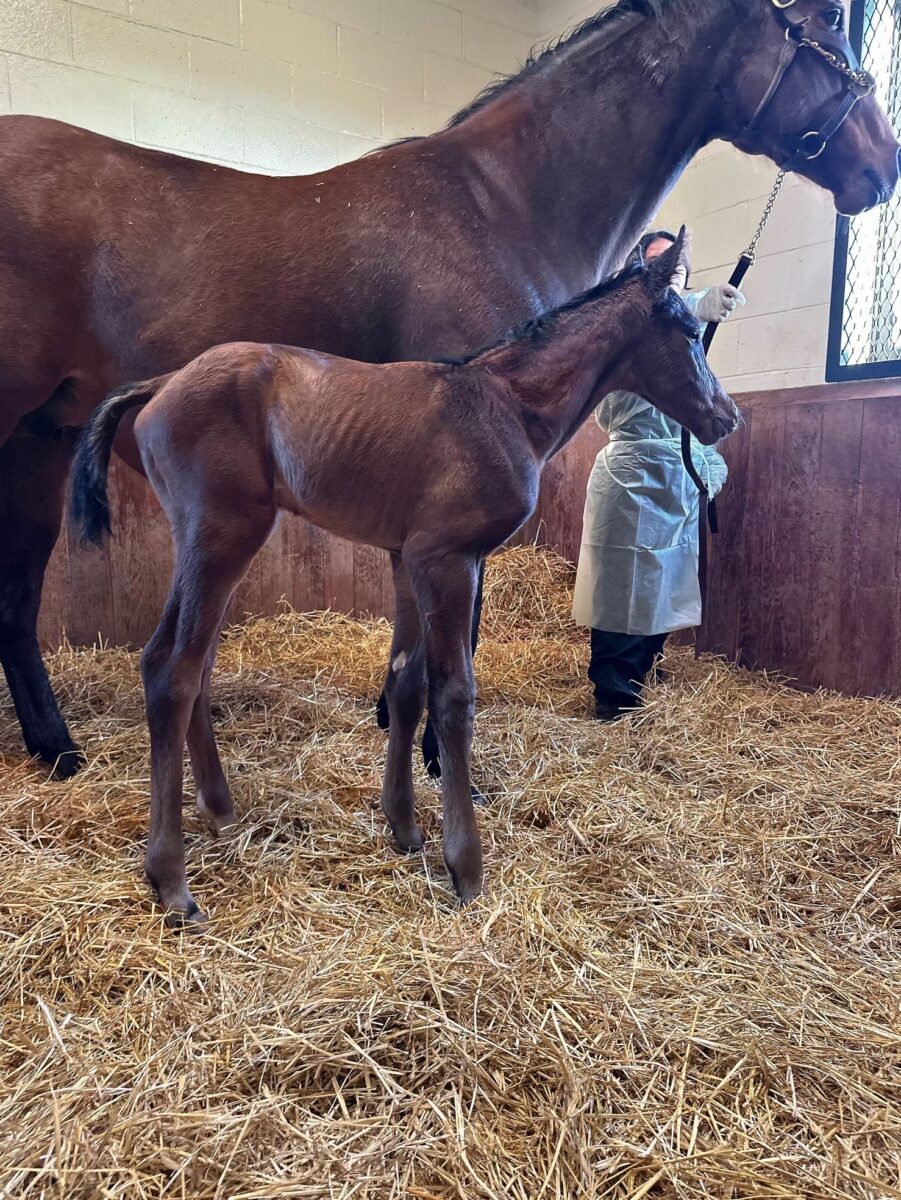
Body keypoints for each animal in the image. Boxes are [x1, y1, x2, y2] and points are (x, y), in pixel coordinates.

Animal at [1, 0, 901, 777]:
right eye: (829, 28)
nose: (881, 167)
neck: (502, 200)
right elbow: (454, 629)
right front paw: (439, 756)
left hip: (45, 437)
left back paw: (57, 749)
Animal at [72, 234, 739, 926]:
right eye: (691, 332)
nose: (727, 416)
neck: (506, 404)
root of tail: (161, 383)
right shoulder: (449, 559)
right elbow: (453, 695)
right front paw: (465, 866)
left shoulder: (406, 557)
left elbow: (405, 683)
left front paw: (405, 827)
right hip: (222, 536)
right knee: (171, 669)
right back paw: (172, 880)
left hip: (208, 547)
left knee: (191, 663)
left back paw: (220, 809)